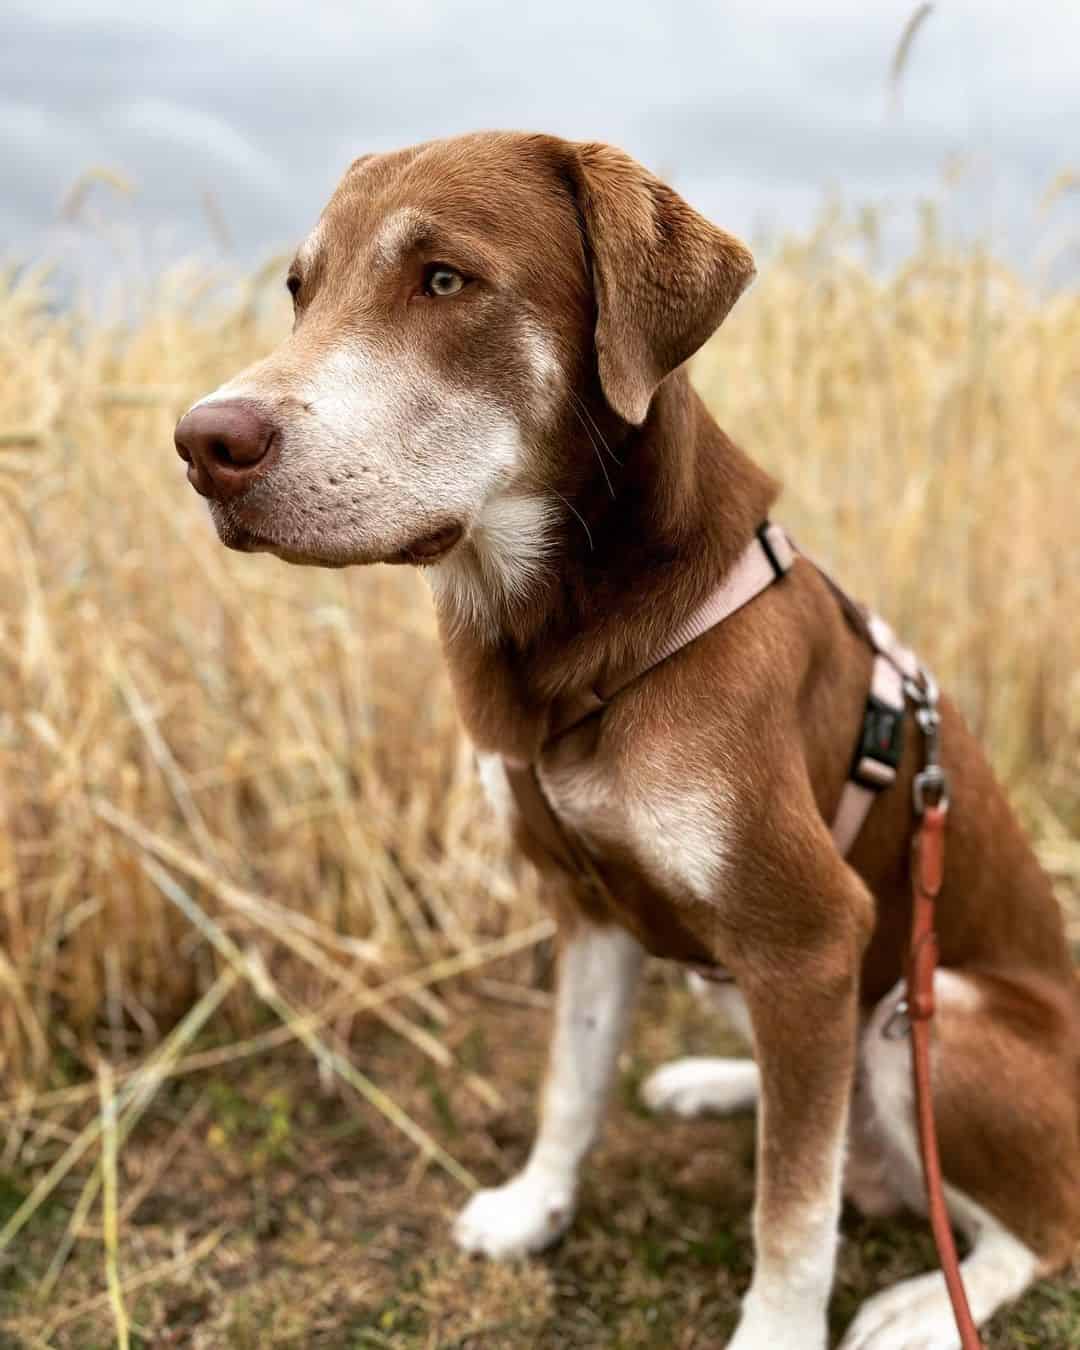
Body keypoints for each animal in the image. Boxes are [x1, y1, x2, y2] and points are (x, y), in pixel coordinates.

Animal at [172, 128, 1074, 1350]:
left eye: (443, 280)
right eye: (300, 291)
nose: (201, 442)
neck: (576, 650)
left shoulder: (812, 933)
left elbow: (793, 1209)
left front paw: (776, 1334)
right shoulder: (587, 904)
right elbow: (572, 1083)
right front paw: (534, 1208)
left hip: (931, 1017)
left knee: (1025, 1219)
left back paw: (929, 1308)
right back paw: (717, 1080)